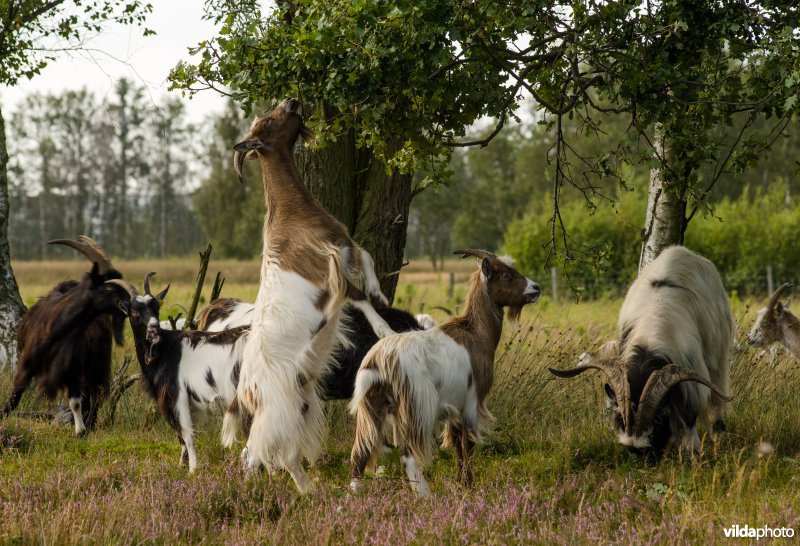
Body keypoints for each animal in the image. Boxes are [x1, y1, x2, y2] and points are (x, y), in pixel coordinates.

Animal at [1, 236, 125, 436]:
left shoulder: (73, 366)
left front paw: (82, 430)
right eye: (109, 286)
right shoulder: (26, 362)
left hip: (96, 362)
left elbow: (77, 400)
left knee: (94, 393)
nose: (130, 302)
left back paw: (90, 423)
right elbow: (15, 394)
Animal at [106, 274, 248, 470]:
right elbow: (182, 438)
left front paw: (192, 470)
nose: (154, 329)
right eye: (134, 313)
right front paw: (182, 465)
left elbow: (186, 434)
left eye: (156, 309)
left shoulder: (176, 396)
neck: (165, 349)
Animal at [231, 98, 394, 492]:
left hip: (302, 402)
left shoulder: (343, 243)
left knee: (264, 450)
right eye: (268, 121)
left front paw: (380, 292)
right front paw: (386, 329)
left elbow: (366, 257)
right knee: (277, 452)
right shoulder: (329, 268)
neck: (292, 214)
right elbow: (355, 295)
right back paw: (307, 492)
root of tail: (249, 391)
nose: (292, 102)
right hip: (283, 407)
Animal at [348, 249, 540, 496]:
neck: (476, 335)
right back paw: (425, 496)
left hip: (371, 406)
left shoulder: (454, 407)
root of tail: (378, 362)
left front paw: (460, 483)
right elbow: (468, 446)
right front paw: (469, 486)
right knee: (408, 454)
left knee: (360, 454)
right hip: (417, 406)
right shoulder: (471, 401)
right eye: (507, 275)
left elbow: (458, 445)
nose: (536, 288)